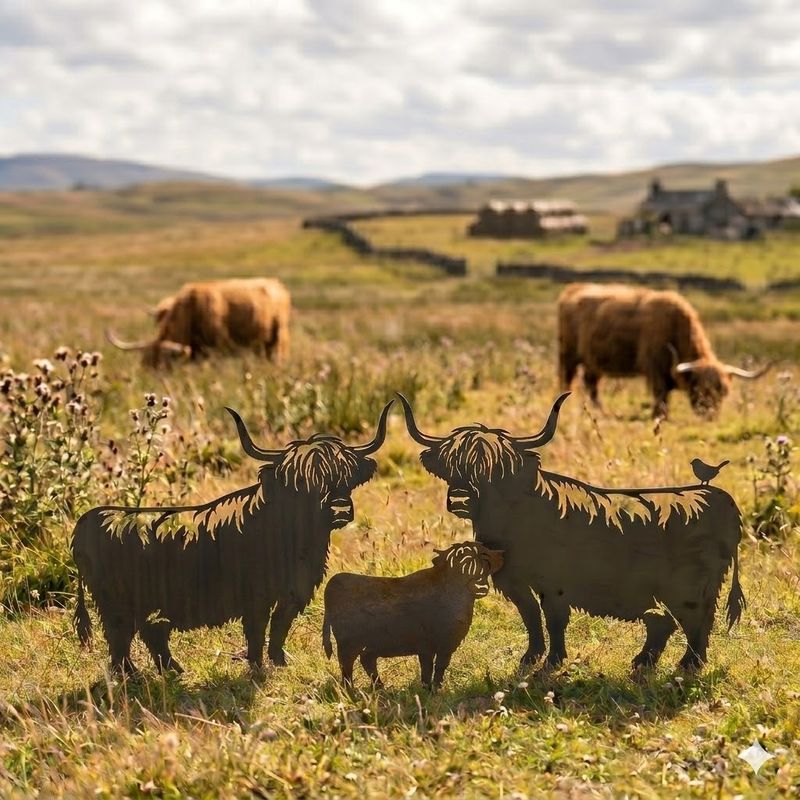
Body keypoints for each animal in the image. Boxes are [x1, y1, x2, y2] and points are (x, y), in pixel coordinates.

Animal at [72, 401, 392, 674]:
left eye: (347, 476)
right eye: (302, 482)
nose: (340, 509)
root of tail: (89, 520)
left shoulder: (293, 591)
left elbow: (280, 627)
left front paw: (281, 663)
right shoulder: (256, 596)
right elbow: (258, 631)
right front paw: (257, 668)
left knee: (149, 633)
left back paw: (173, 671)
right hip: (117, 602)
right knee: (121, 638)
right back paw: (133, 675)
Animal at [398, 392, 745, 672]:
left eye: (495, 472)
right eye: (451, 466)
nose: (460, 500)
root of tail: (720, 498)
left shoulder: (554, 583)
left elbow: (553, 619)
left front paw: (552, 661)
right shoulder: (514, 580)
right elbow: (531, 617)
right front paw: (531, 658)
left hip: (689, 588)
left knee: (694, 621)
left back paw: (688, 665)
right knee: (667, 622)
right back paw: (646, 663)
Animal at [557, 283, 770, 418]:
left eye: (724, 391)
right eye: (699, 389)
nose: (710, 416)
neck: (675, 329)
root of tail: (573, 289)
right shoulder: (654, 369)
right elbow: (660, 395)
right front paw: (659, 415)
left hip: (593, 361)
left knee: (592, 384)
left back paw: (601, 410)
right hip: (567, 355)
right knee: (567, 378)